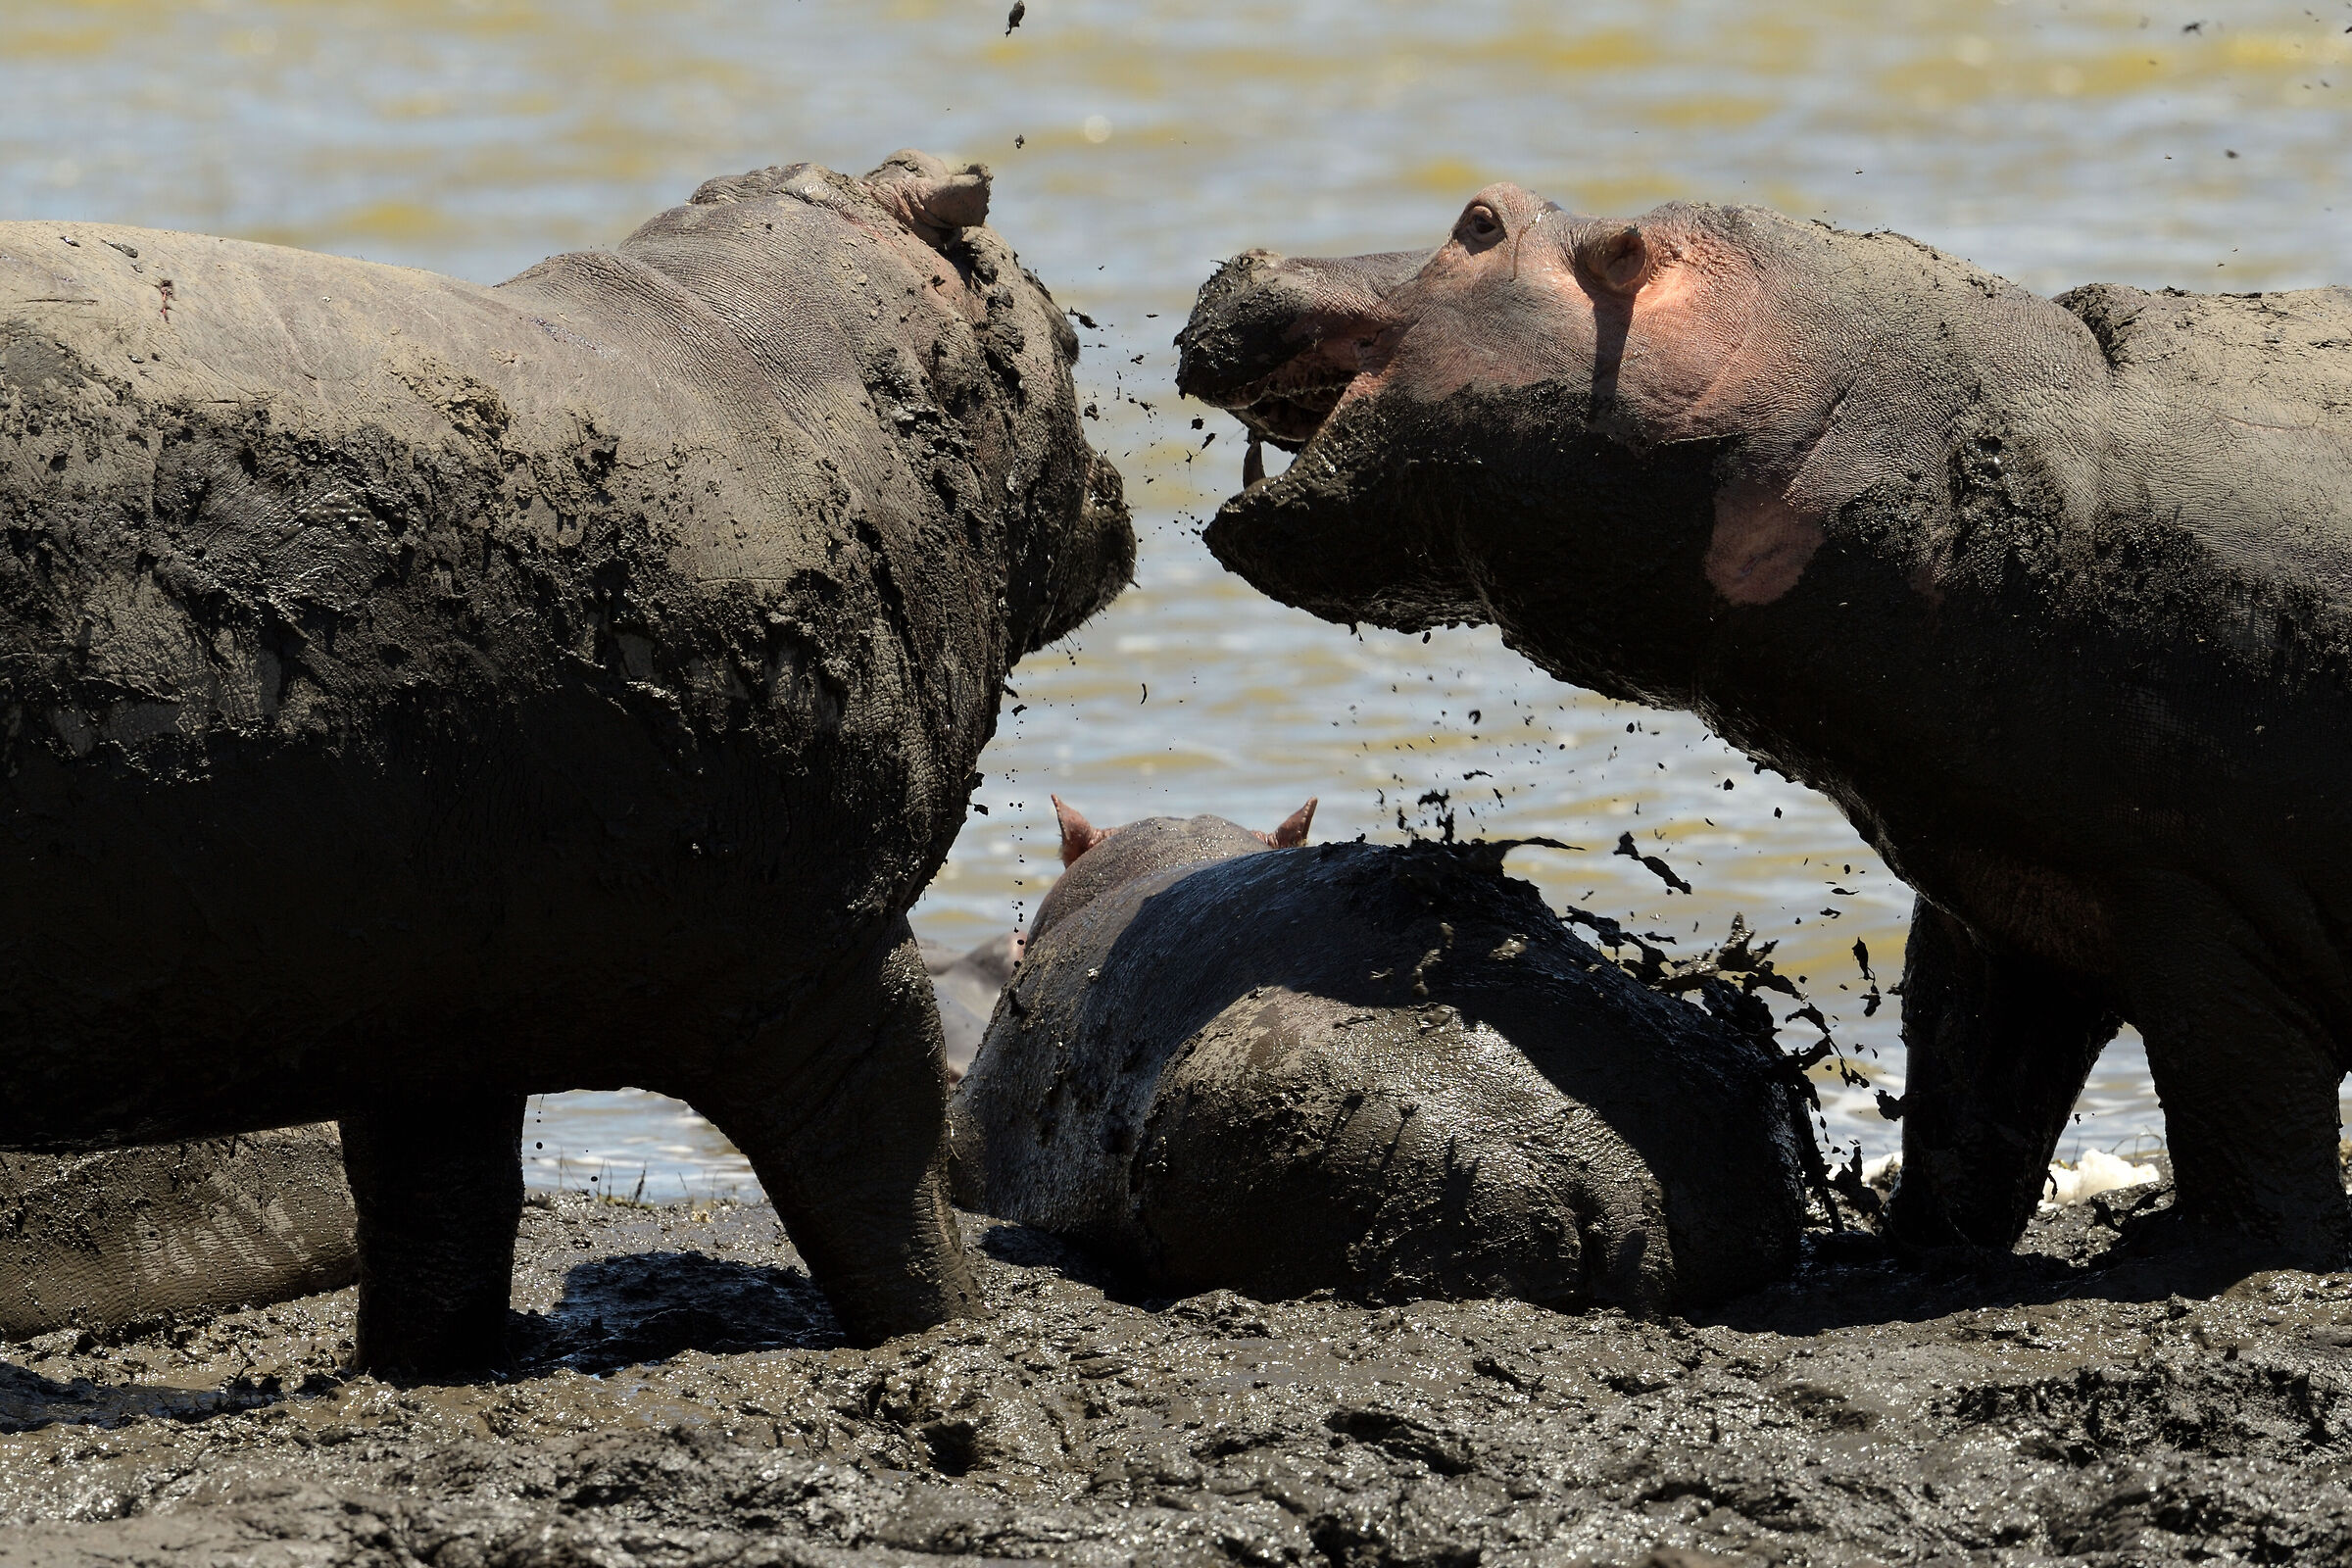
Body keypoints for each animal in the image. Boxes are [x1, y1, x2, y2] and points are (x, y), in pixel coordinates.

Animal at [0, 150, 1133, 1375]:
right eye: (1066, 338)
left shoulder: (435, 1008)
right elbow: (896, 1169)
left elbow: (440, 1218)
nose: (1123, 483)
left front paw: (415, 1370)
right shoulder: (833, 953)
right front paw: (952, 1328)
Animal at [1175, 186, 2352, 1270]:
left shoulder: (2202, 911)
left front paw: (2214, 1257)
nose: (1246, 254)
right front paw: (1899, 1256)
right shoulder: (2005, 899)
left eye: (1479, 221)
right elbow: (1963, 1098)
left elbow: (2247, 1126)